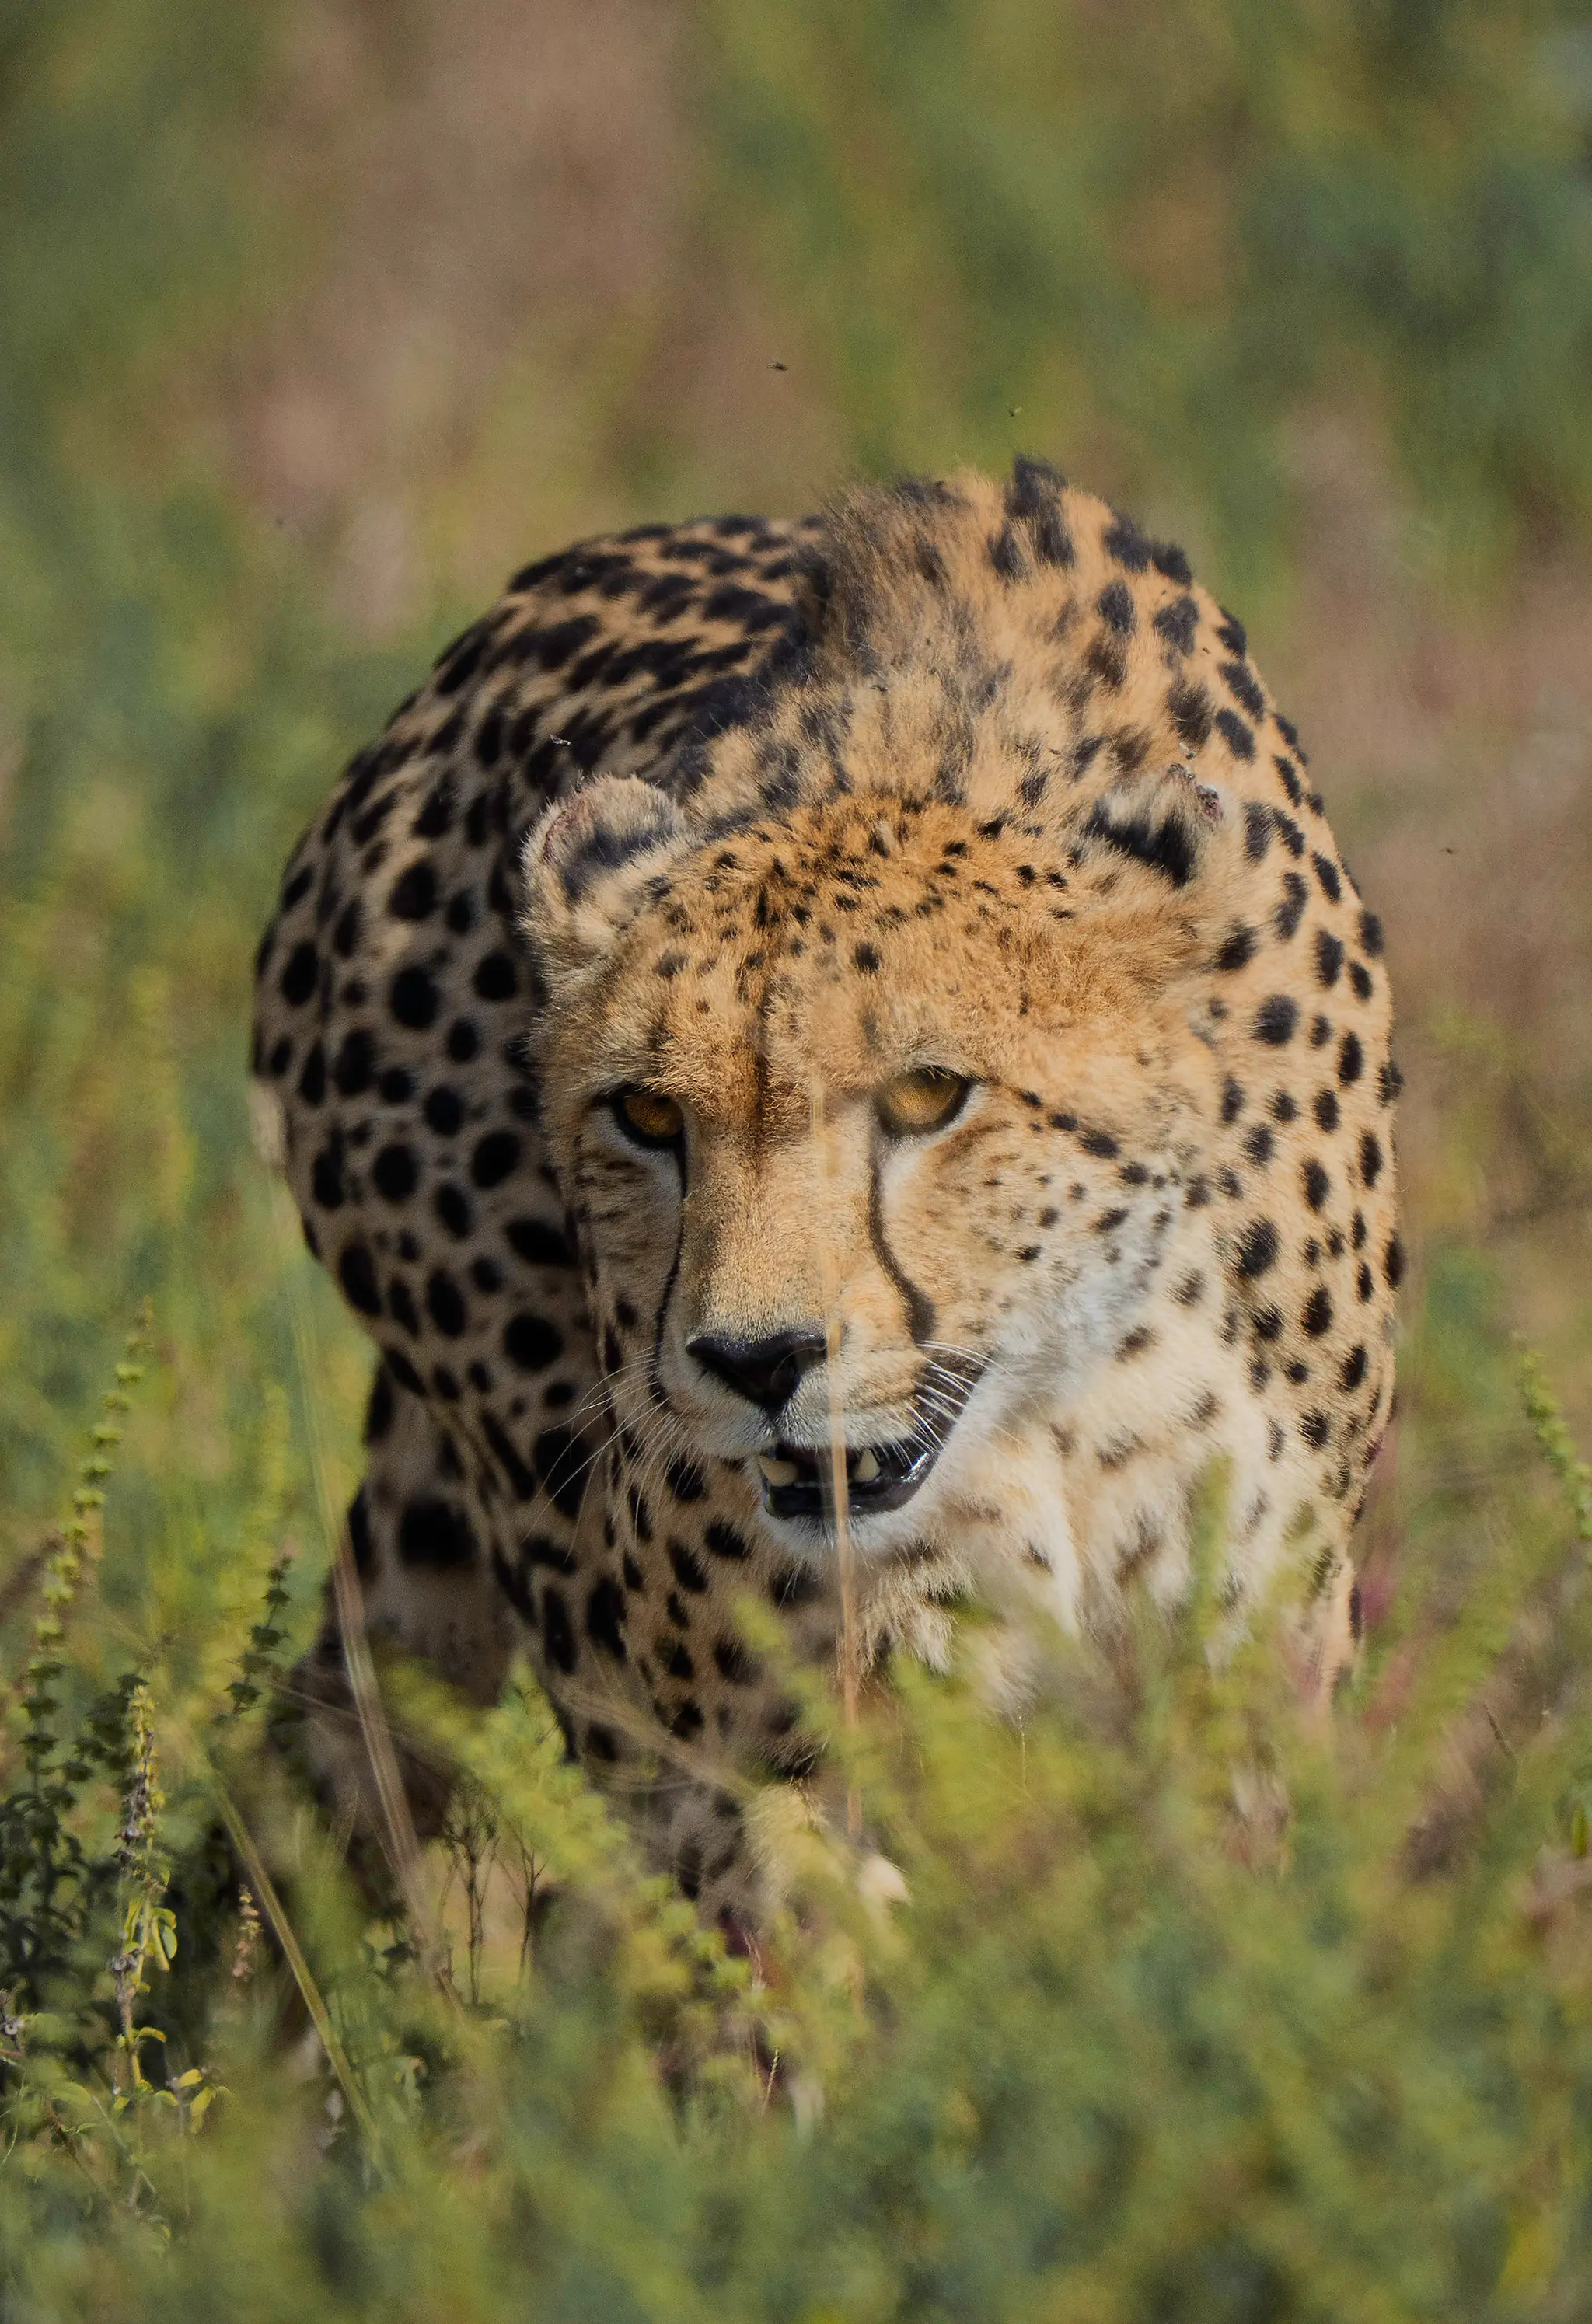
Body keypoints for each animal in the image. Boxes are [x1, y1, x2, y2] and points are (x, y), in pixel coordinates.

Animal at [251, 458, 1400, 1929]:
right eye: (647, 1114)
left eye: (928, 1096)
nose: (756, 1361)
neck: (1063, 1409)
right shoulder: (753, 1730)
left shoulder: (1246, 1669)